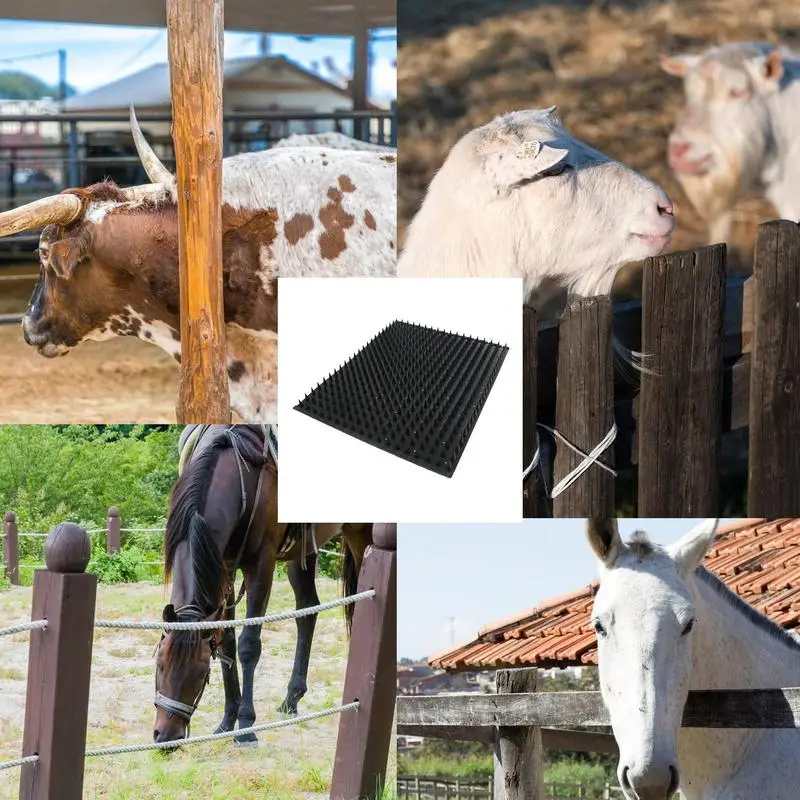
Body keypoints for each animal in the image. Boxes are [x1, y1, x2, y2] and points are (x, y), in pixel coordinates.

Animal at [153, 424, 372, 745]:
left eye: (200, 673)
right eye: (160, 664)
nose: (165, 736)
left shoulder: (261, 567)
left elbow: (248, 645)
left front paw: (246, 727)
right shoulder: (225, 569)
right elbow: (227, 643)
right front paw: (227, 721)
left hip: (360, 533)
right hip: (302, 551)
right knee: (308, 610)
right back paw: (292, 699)